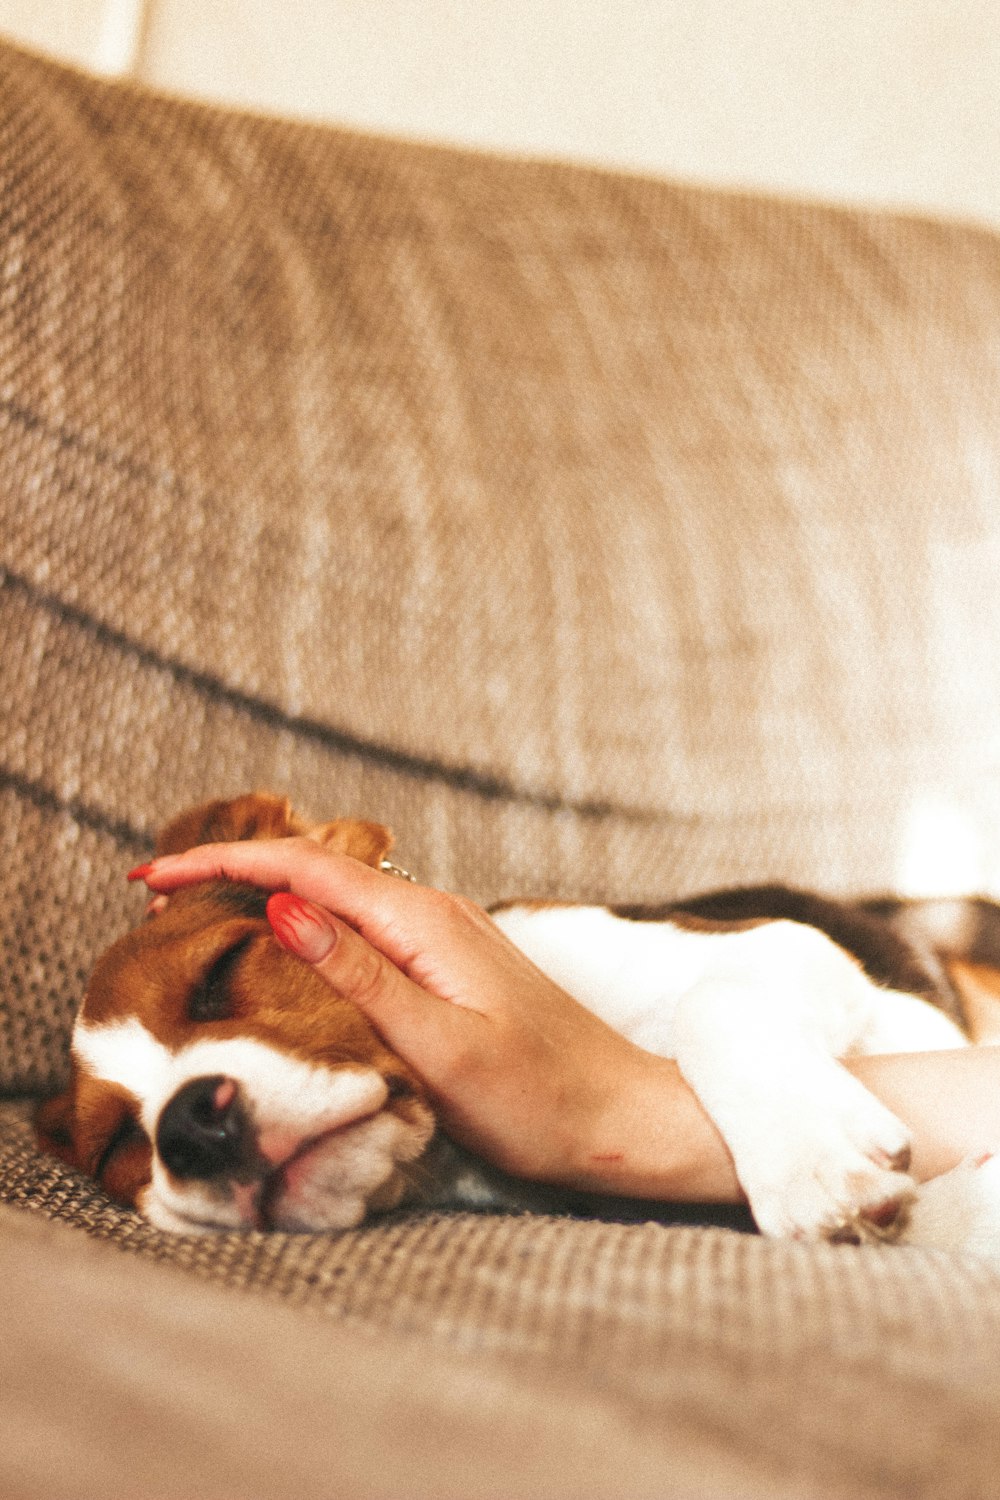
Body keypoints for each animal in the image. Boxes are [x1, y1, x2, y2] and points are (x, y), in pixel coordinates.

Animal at [31, 792, 1000, 1248]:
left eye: (220, 972)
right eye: (120, 1148)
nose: (190, 1126)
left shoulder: (812, 959)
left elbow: (712, 1004)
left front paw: (812, 1164)